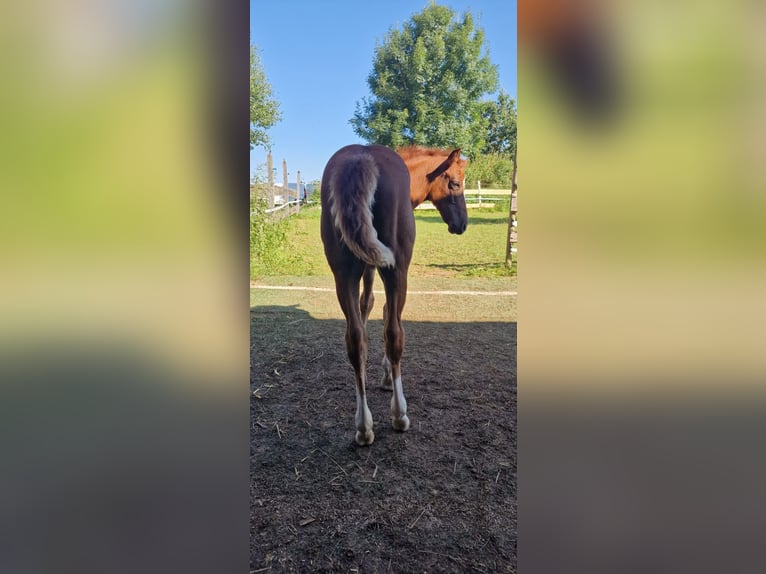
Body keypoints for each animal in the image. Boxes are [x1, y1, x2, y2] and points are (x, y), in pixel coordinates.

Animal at [322, 143, 472, 446]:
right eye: (455, 183)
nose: (462, 224)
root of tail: (361, 158)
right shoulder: (385, 267)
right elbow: (382, 312)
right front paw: (387, 376)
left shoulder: (367, 265)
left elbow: (366, 308)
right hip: (396, 268)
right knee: (395, 334)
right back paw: (399, 415)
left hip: (343, 273)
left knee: (354, 339)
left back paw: (363, 427)